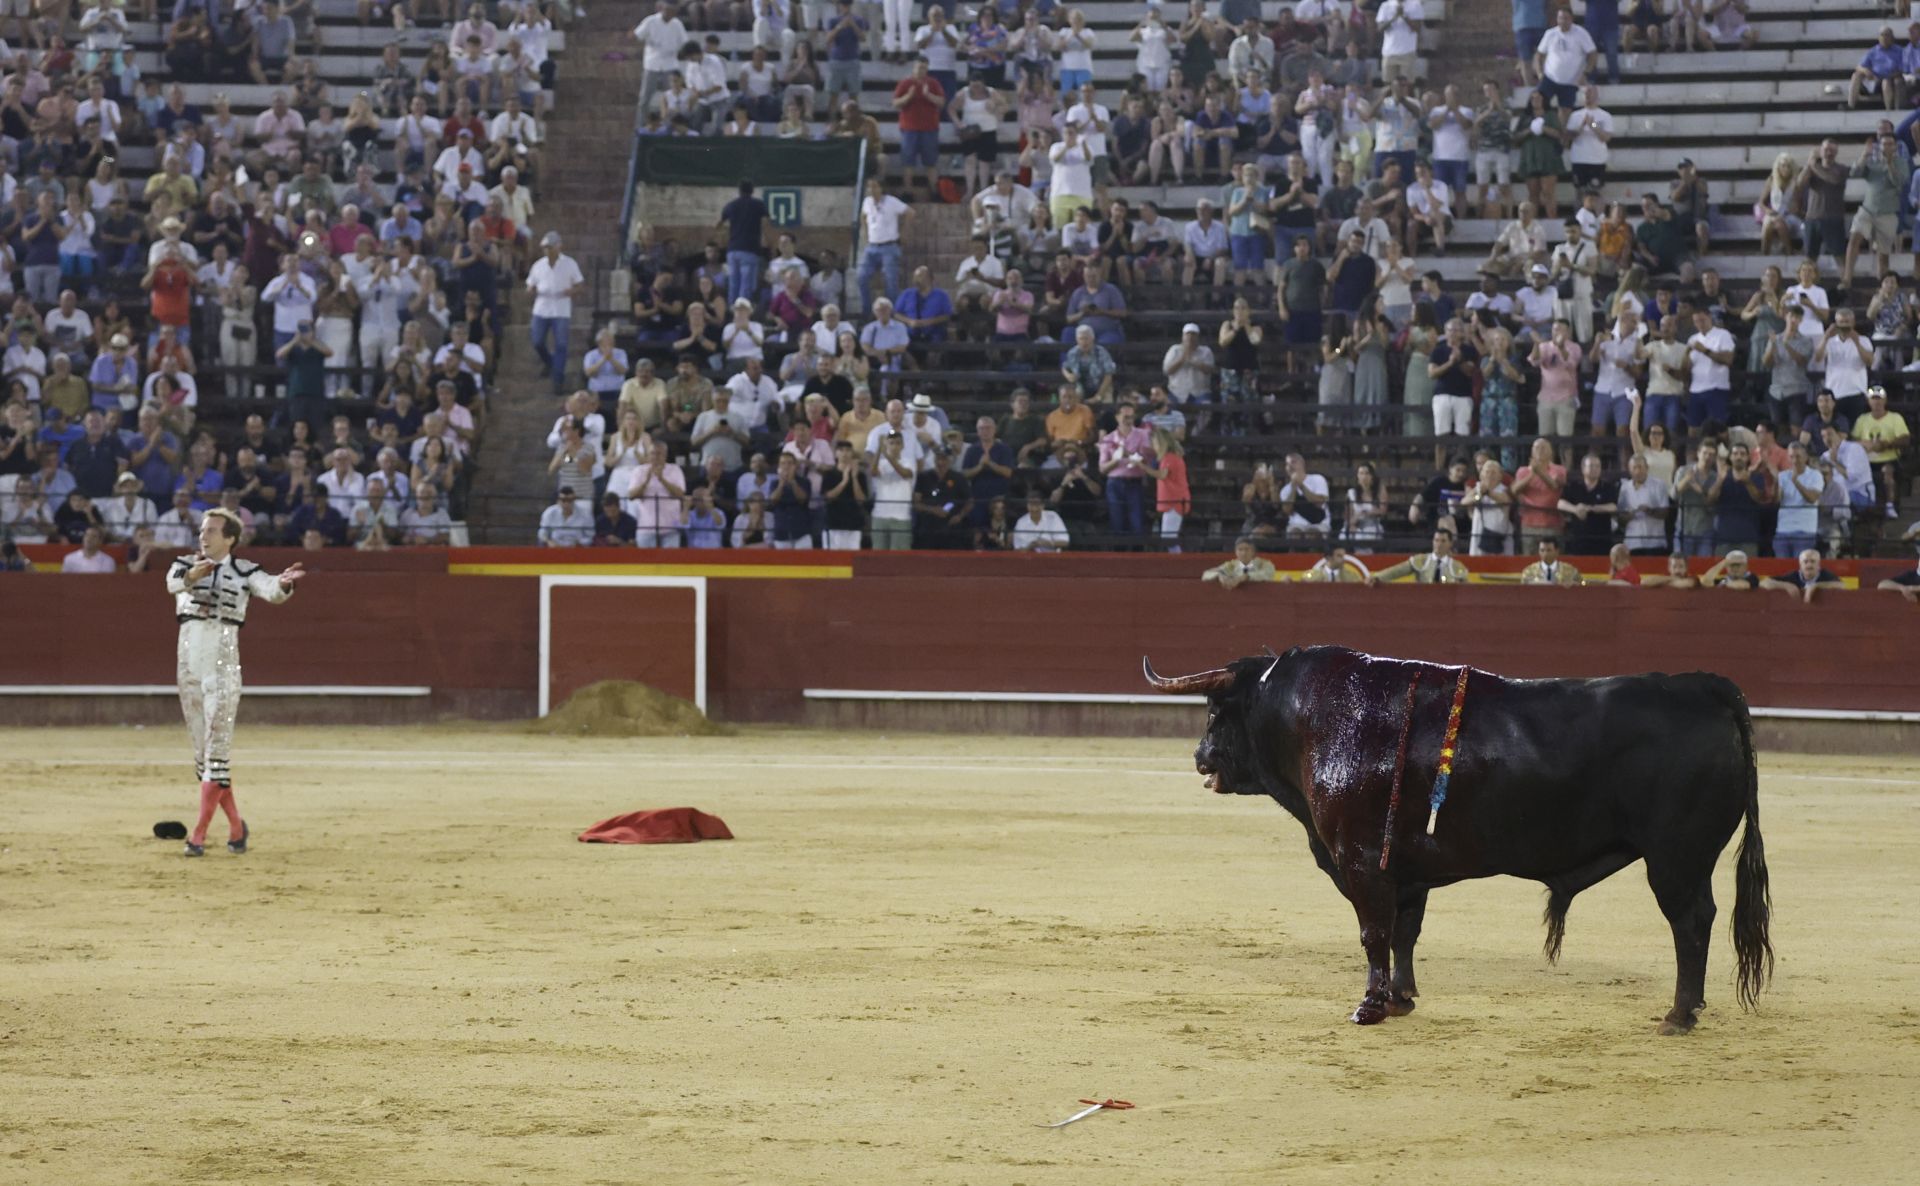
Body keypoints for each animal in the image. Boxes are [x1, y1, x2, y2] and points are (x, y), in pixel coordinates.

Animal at [1144, 640, 1774, 1028]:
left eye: (1216, 712)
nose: (1199, 757)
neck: (1314, 720)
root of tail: (1703, 685)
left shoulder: (1361, 861)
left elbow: (1373, 934)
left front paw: (1369, 1007)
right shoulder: (1405, 871)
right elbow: (1404, 934)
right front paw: (1400, 999)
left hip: (1675, 859)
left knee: (1690, 923)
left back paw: (1679, 1015)